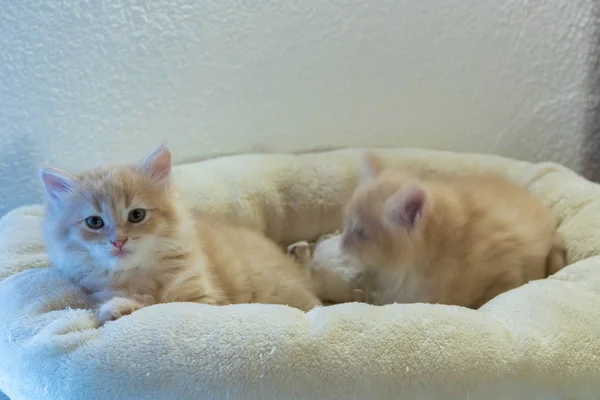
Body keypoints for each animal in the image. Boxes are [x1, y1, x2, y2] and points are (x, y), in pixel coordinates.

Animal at [39, 145, 322, 324]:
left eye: (136, 215)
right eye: (94, 222)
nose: (118, 241)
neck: (142, 275)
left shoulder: (204, 298)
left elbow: (162, 305)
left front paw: (122, 307)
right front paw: (118, 307)